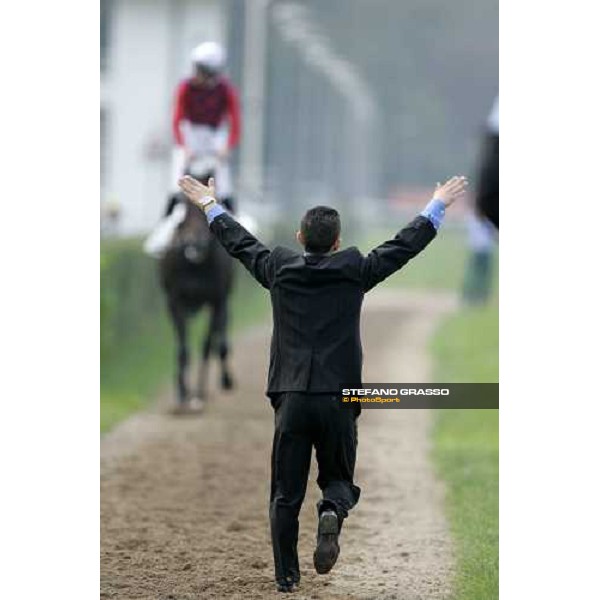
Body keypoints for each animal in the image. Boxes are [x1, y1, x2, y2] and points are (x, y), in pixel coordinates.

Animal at [159, 175, 234, 408]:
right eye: (182, 206)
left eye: (200, 210)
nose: (194, 243)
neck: (195, 266)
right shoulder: (175, 300)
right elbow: (182, 347)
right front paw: (183, 393)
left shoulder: (216, 299)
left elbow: (207, 345)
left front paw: (199, 393)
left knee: (221, 334)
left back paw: (225, 379)